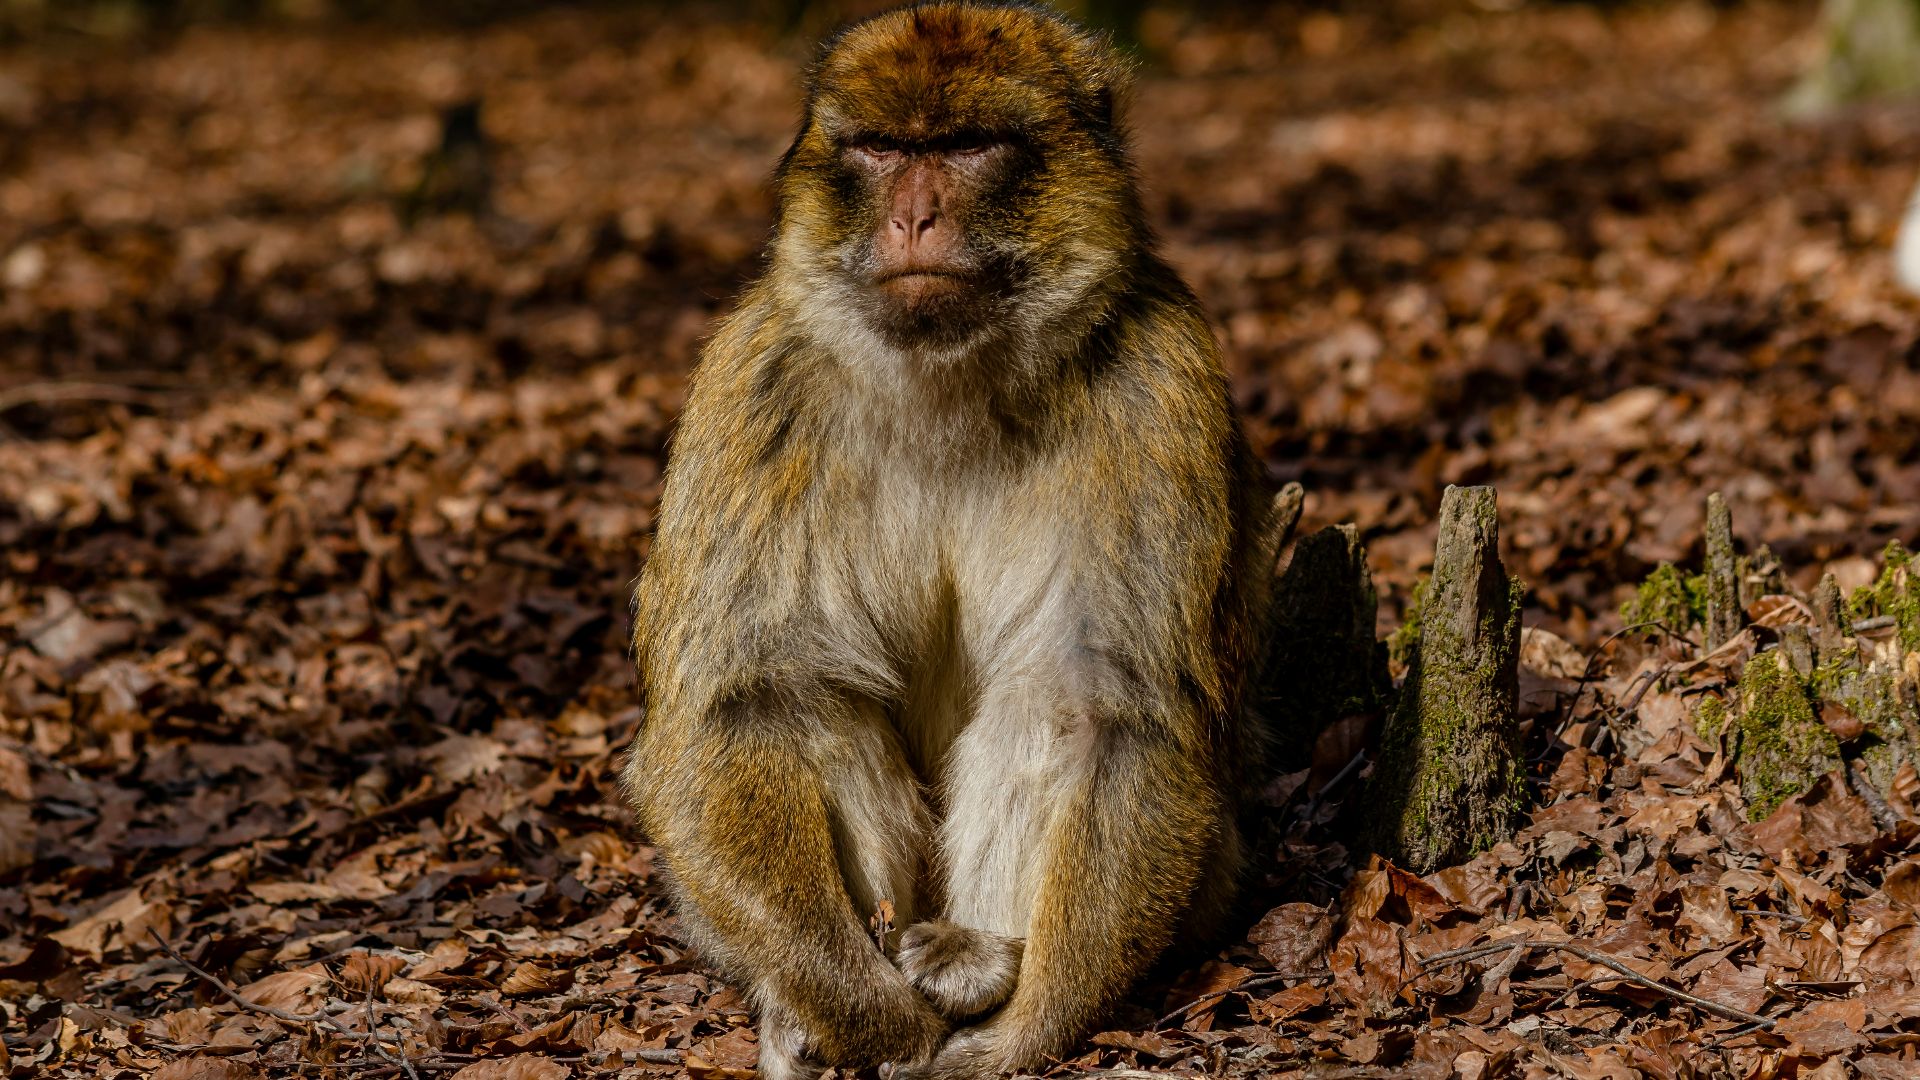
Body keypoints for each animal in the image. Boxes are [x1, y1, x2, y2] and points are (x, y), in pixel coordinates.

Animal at [622, 4, 1271, 1078]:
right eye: (884, 150)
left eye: (967, 147)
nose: (913, 218)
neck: (948, 384)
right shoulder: (754, 383)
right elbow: (749, 697)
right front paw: (865, 1012)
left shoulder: (1158, 378)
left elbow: (1109, 705)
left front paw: (1021, 1035)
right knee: (814, 706)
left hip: (1212, 877)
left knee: (1046, 706)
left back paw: (976, 959)